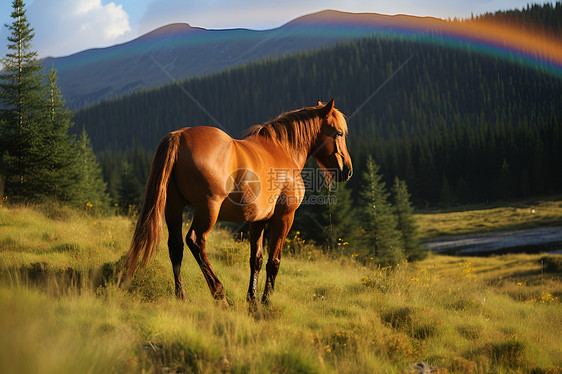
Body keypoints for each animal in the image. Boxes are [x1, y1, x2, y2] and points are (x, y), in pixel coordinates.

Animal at [123, 99, 350, 306]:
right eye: (339, 133)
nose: (347, 170)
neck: (282, 150)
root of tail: (179, 136)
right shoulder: (284, 218)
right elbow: (274, 261)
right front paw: (266, 302)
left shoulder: (258, 221)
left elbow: (256, 260)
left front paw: (253, 301)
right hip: (208, 209)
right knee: (195, 241)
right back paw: (219, 294)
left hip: (173, 207)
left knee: (175, 246)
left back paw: (182, 296)